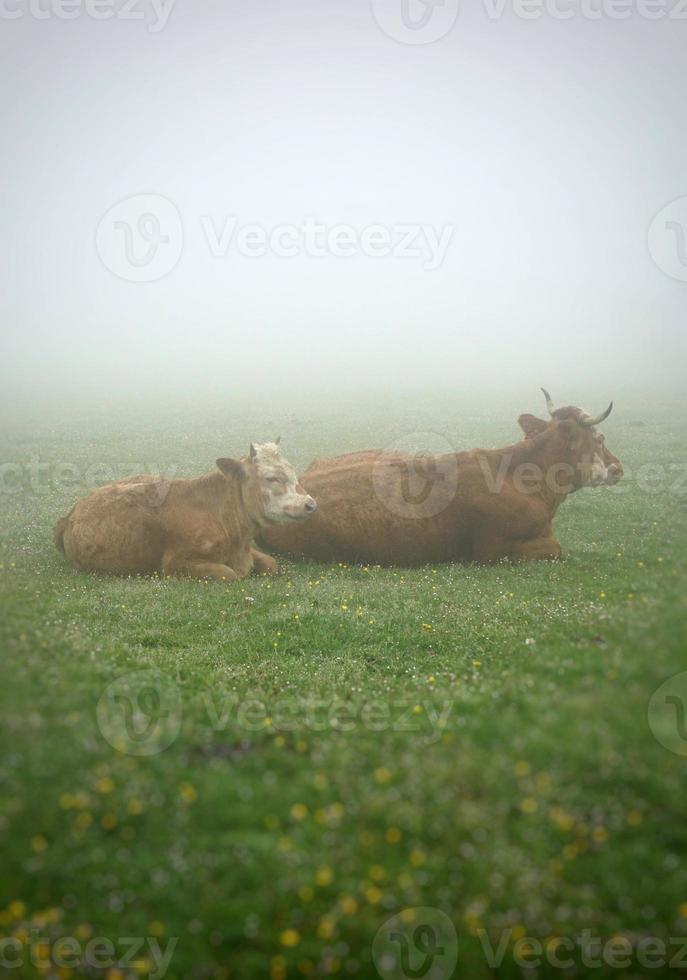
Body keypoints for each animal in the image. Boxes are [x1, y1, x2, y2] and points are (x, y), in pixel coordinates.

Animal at [53, 440, 318, 580]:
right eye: (271, 478)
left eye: (293, 473)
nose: (311, 504)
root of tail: (69, 516)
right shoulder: (175, 564)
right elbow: (230, 574)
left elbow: (271, 563)